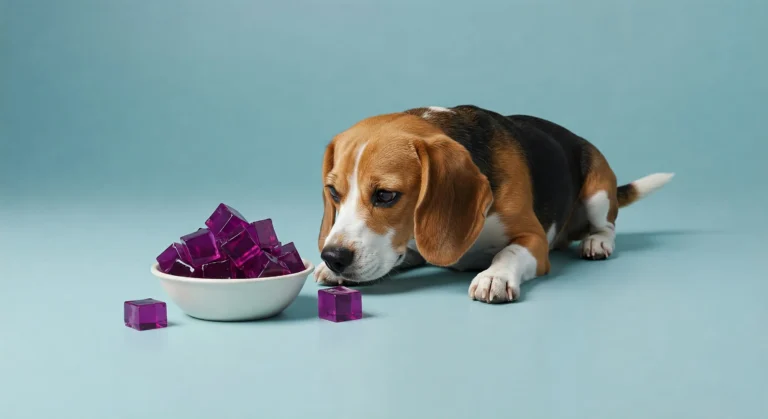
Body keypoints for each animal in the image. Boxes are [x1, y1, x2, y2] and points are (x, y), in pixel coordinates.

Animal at [312, 103, 672, 304]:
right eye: (333, 192)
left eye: (386, 195)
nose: (333, 257)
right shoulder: (412, 247)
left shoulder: (534, 239)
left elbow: (508, 251)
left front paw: (494, 277)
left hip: (597, 191)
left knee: (607, 225)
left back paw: (596, 242)